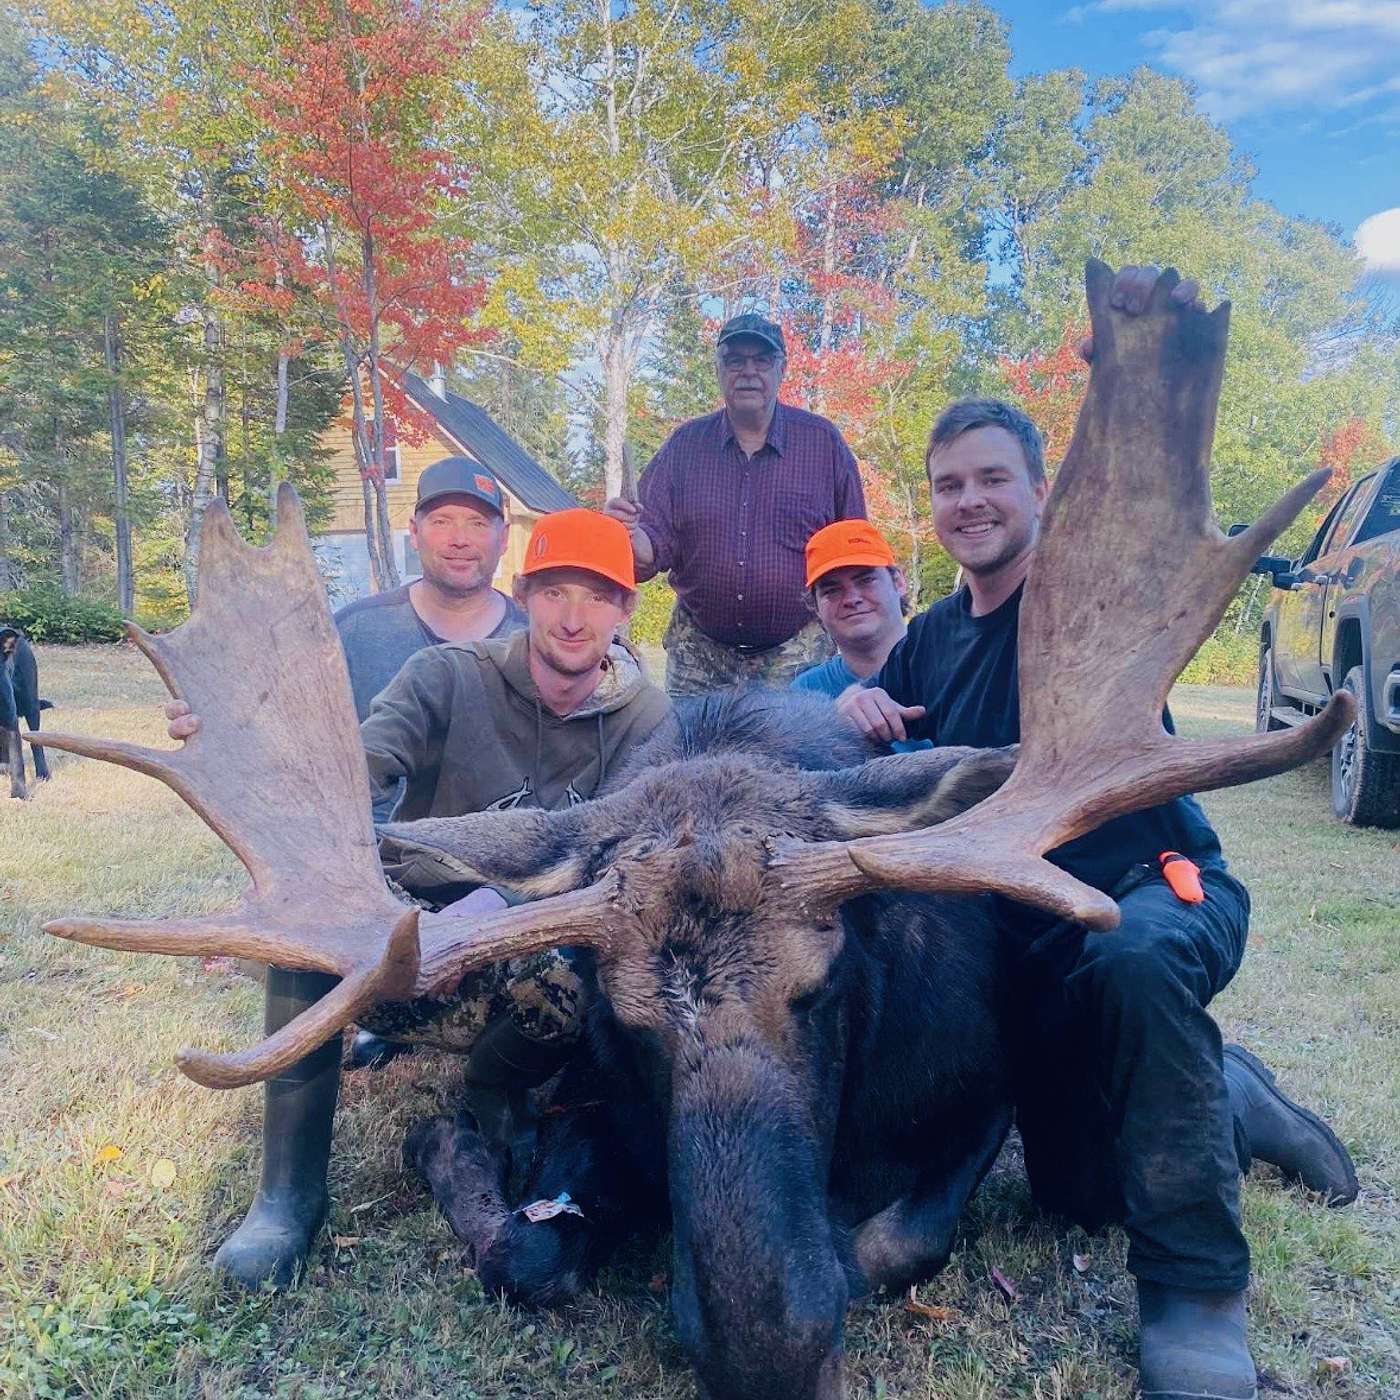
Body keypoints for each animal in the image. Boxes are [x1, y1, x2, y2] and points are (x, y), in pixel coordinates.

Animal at [30, 263, 1352, 1400]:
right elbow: (527, 1247)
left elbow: (892, 1242)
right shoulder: (591, 1107)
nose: (766, 1349)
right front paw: (460, 1150)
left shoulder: (981, 1092)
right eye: (626, 1026)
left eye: (825, 985)